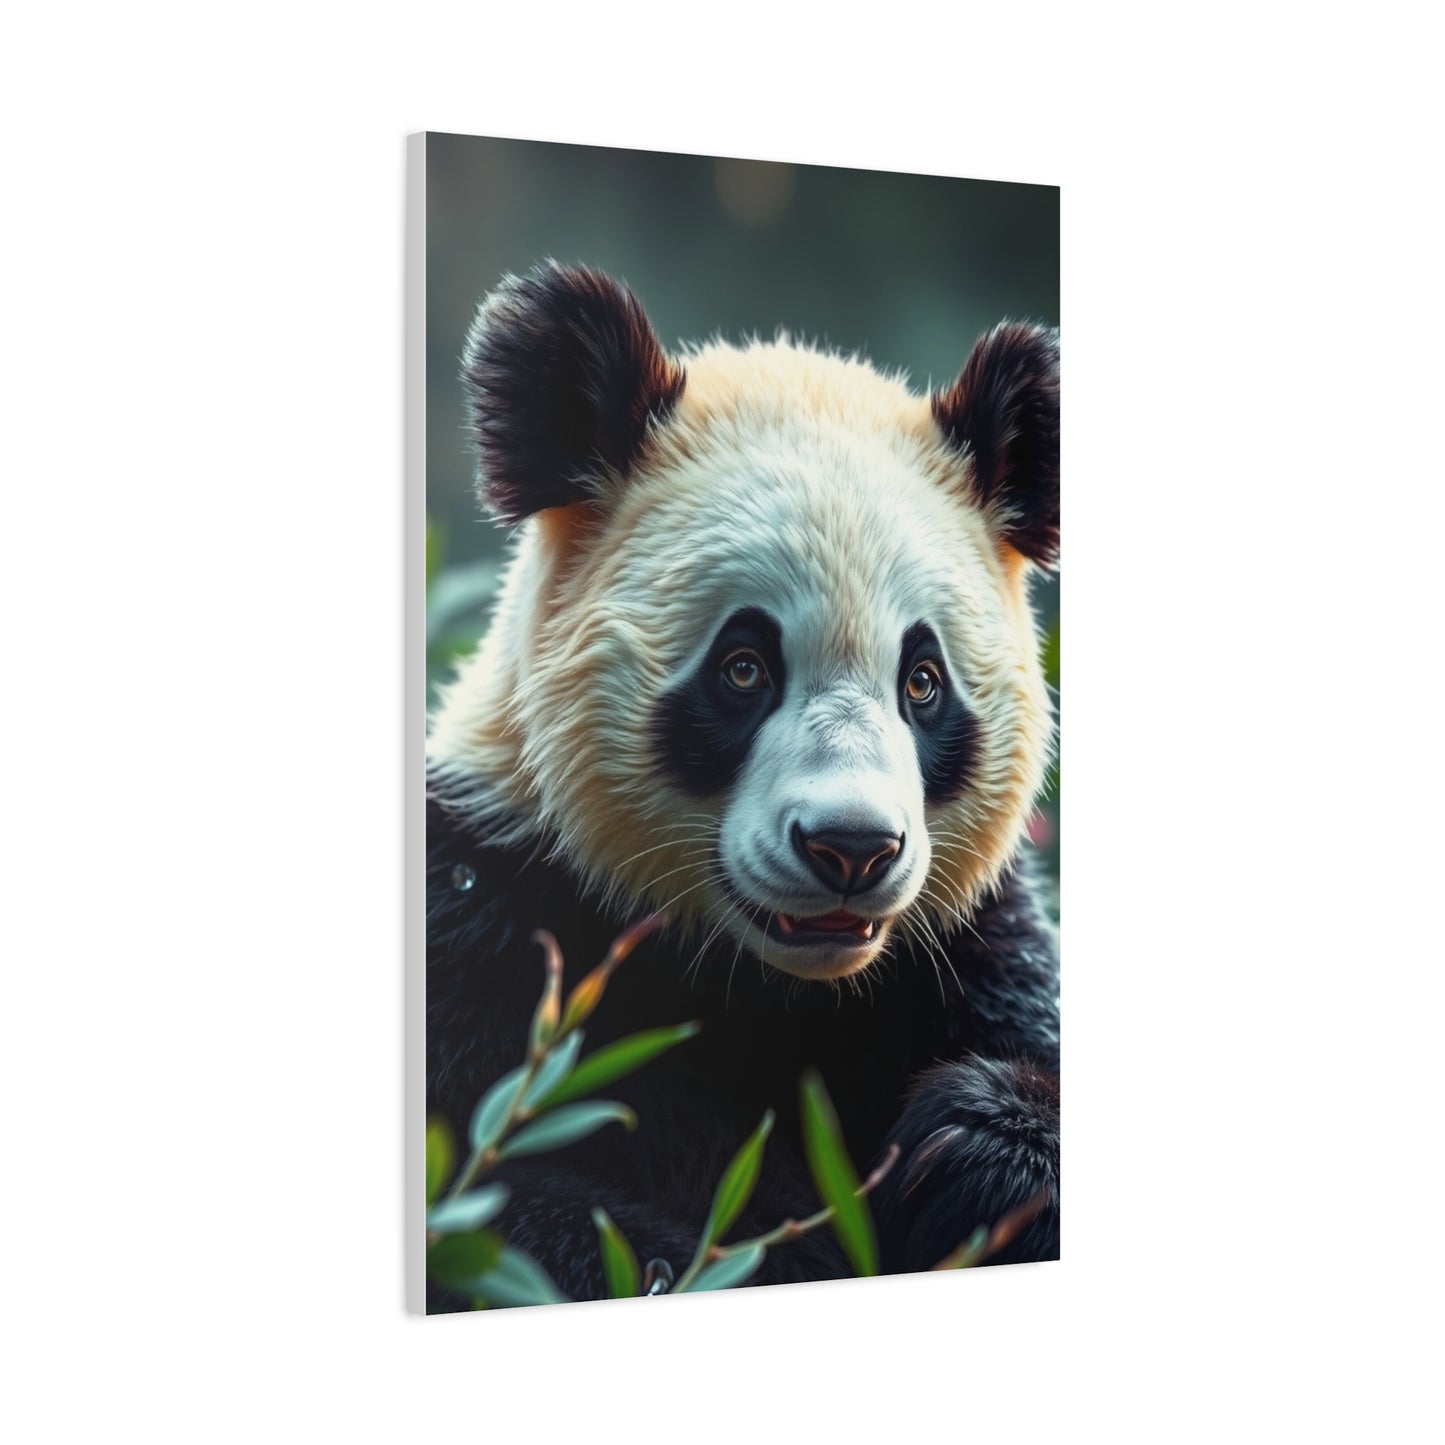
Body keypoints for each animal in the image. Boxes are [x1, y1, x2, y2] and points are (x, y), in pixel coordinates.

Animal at [427, 261, 1059, 1304]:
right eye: (743, 667)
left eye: (922, 681)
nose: (852, 848)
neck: (772, 985)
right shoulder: (490, 915)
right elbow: (505, 1204)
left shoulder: (967, 949)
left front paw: (970, 1152)